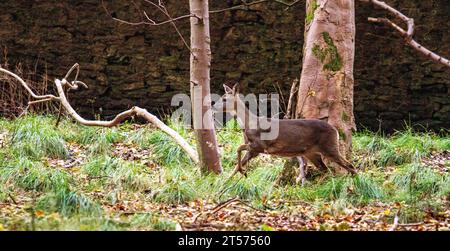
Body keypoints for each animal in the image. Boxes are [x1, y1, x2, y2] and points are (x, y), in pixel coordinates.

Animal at [214, 83, 358, 185]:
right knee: (325, 169)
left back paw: (355, 185)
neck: (249, 124)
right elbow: (237, 164)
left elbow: (238, 148)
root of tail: (335, 130)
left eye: (225, 98)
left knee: (349, 165)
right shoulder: (253, 149)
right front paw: (224, 182)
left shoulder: (260, 145)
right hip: (312, 152)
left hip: (329, 146)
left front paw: (241, 173)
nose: (213, 106)